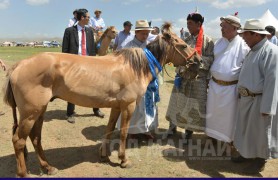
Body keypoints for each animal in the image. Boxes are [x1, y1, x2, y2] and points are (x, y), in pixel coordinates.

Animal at [3, 22, 201, 177]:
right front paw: (123, 160)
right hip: (31, 113)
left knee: (35, 137)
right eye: (183, 45)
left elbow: (109, 128)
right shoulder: (128, 106)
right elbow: (123, 132)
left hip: (39, 111)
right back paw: (23, 173)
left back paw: (48, 167)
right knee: (19, 140)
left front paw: (104, 154)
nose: (198, 61)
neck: (135, 66)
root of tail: (18, 66)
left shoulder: (116, 106)